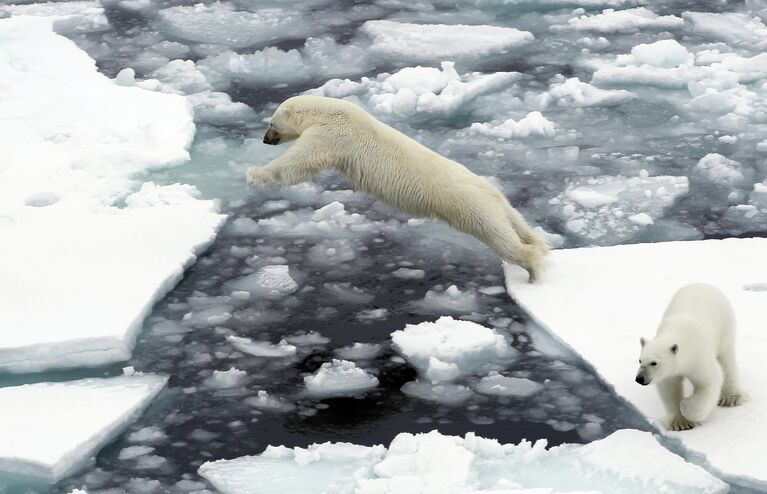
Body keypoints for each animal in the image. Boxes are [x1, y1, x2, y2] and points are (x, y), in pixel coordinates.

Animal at [246, 95, 544, 282]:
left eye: (271, 123)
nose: (265, 140)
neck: (328, 111)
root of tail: (492, 193)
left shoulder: (332, 133)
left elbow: (299, 161)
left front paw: (254, 173)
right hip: (497, 204)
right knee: (519, 226)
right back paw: (539, 243)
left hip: (471, 207)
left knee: (498, 237)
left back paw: (532, 270)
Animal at [636, 284, 752, 430]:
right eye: (640, 360)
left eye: (654, 363)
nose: (639, 379)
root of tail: (703, 284)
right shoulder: (670, 372)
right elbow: (670, 388)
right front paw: (680, 423)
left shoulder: (699, 357)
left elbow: (709, 382)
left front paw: (686, 407)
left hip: (726, 327)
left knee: (727, 360)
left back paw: (731, 398)